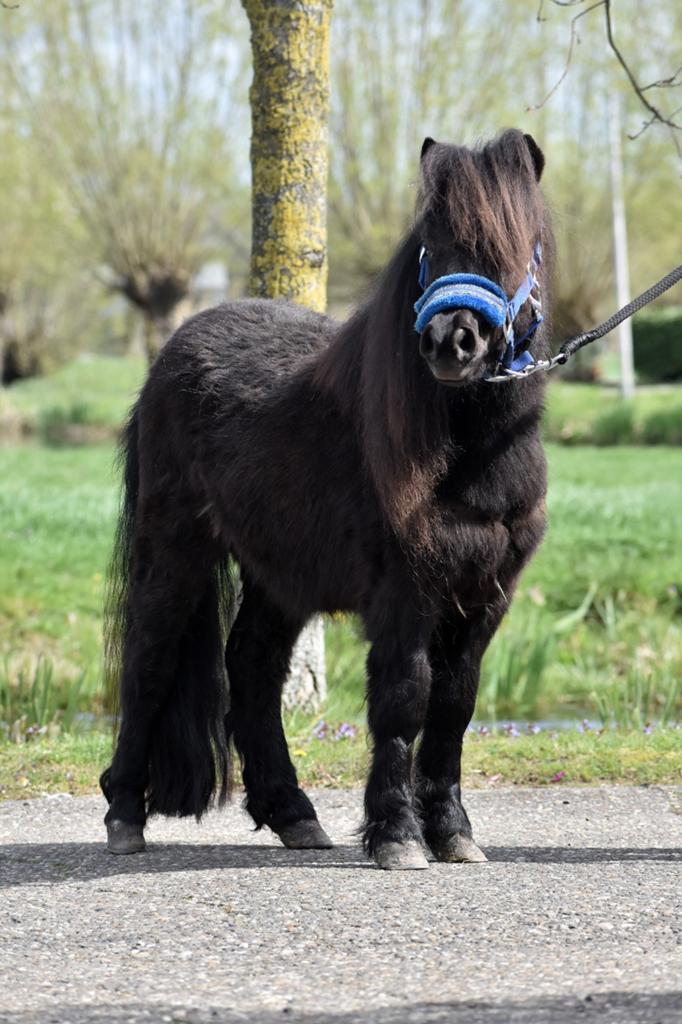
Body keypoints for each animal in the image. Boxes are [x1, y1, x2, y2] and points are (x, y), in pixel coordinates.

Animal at [100, 128, 553, 870]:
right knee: (149, 661)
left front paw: (452, 832)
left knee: (252, 666)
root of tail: (167, 359)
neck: (472, 452)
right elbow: (403, 701)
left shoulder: (487, 596)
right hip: (173, 549)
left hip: (278, 574)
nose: (449, 341)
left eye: (518, 243)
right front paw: (398, 836)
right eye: (430, 244)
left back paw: (292, 813)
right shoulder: (406, 593)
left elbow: (454, 707)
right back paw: (124, 817)